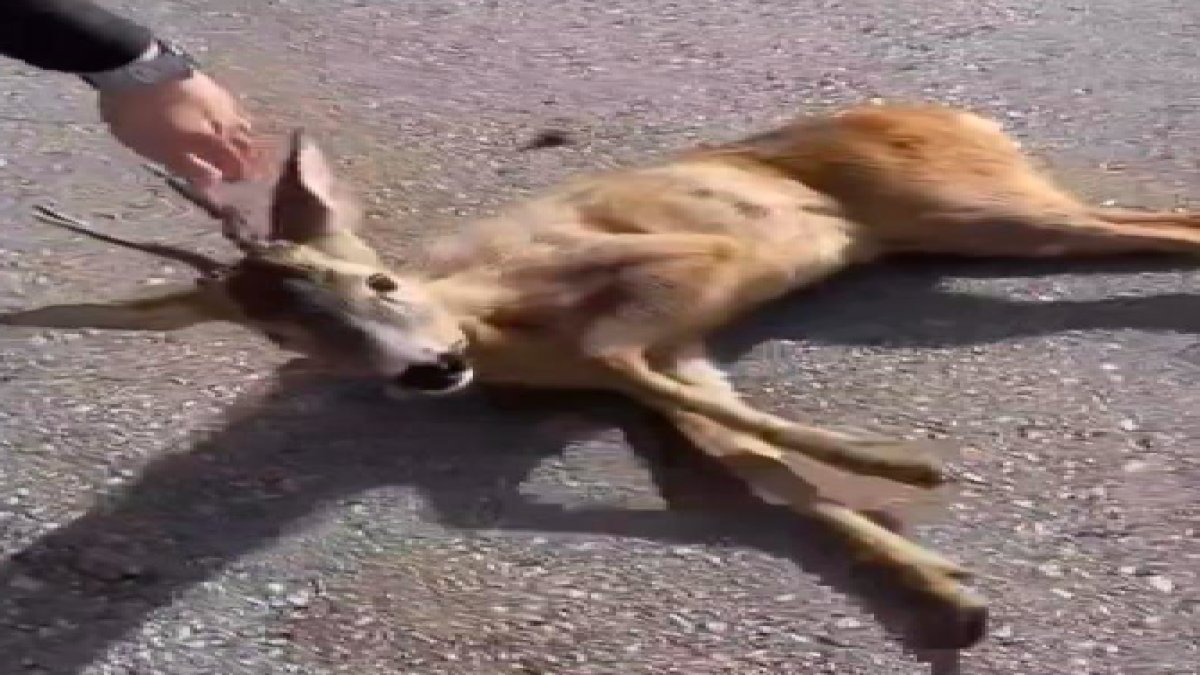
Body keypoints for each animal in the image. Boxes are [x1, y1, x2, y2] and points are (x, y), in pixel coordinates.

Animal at [9, 100, 1200, 653]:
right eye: (288, 340)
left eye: (376, 279)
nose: (427, 371)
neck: (496, 321)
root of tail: (947, 112)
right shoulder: (676, 352)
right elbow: (737, 456)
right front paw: (939, 587)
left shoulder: (684, 268)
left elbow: (632, 366)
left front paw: (903, 466)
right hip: (964, 220)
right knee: (1155, 224)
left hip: (963, 202)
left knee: (1164, 222)